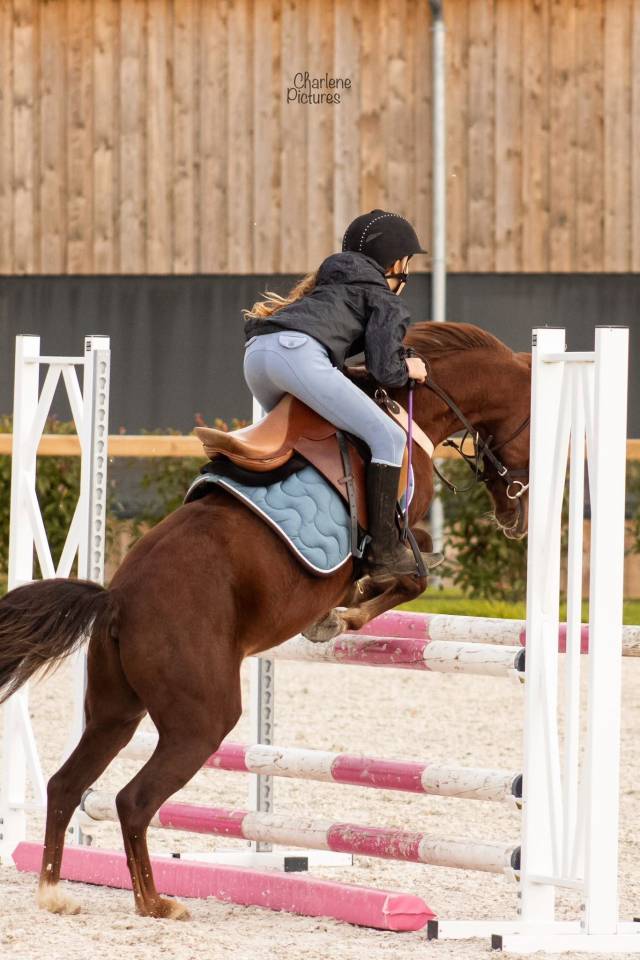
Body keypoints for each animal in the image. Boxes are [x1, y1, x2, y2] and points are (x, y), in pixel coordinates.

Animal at [0, 322, 531, 920]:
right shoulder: (397, 535)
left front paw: (339, 613)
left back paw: (54, 891)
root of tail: (116, 598)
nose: (516, 521)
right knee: (132, 801)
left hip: (116, 712)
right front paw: (344, 614)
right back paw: (156, 903)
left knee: (67, 785)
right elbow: (408, 573)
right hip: (201, 721)